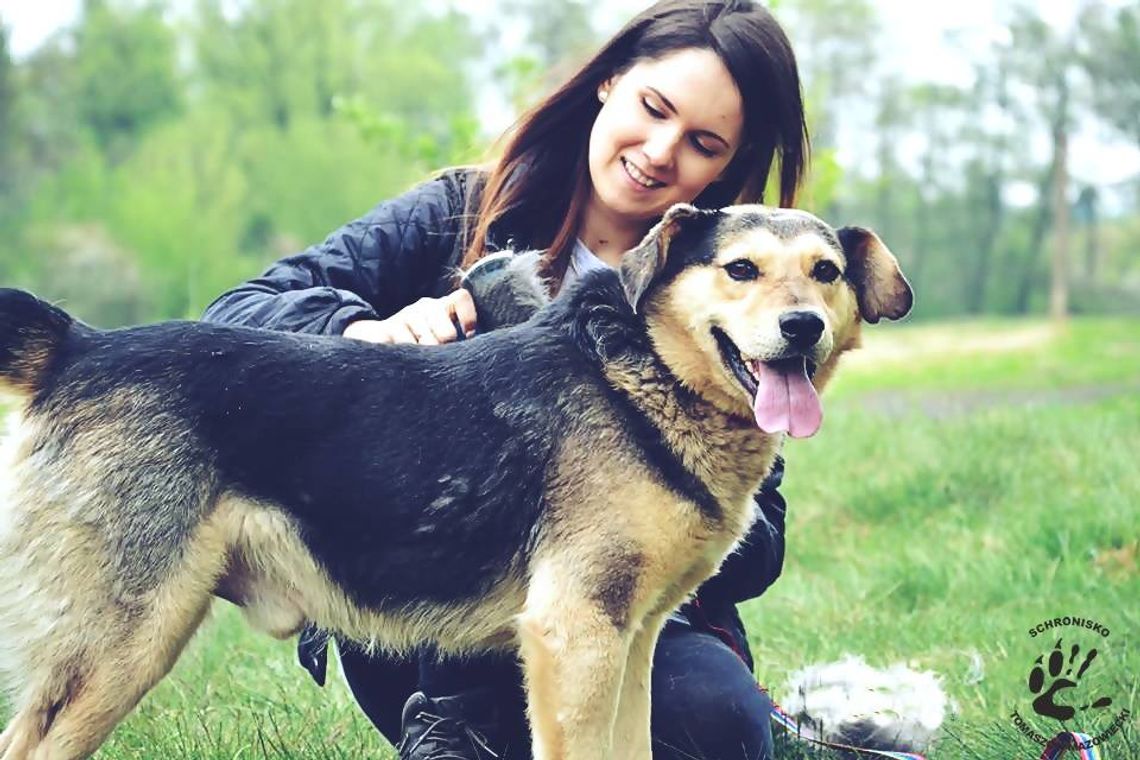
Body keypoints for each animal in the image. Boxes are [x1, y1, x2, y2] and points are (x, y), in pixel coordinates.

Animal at [0, 203, 907, 760]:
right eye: (741, 270)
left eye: (825, 272)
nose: (803, 327)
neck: (638, 379)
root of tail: (79, 346)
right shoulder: (574, 637)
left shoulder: (631, 643)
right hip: (120, 644)